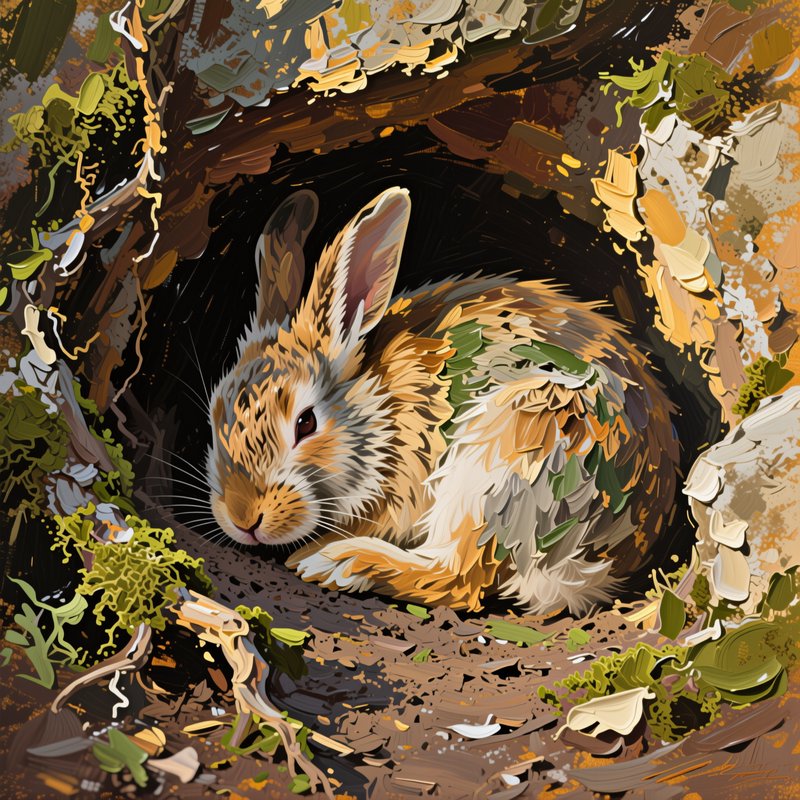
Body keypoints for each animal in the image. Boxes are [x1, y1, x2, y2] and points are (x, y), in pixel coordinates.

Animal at [206, 187, 679, 615]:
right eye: (215, 413)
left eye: (305, 423)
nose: (244, 519)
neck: (380, 408)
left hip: (515, 449)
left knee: (458, 580)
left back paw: (338, 561)